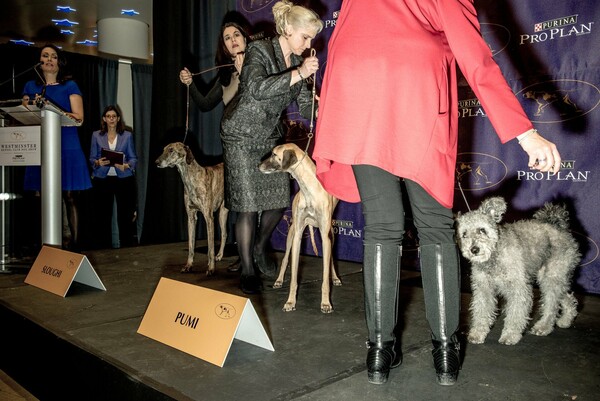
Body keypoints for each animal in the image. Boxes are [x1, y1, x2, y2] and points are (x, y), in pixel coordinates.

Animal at [155, 143, 230, 276]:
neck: (190, 178)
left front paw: (211, 268)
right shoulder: (191, 217)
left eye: (171, 150)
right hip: (223, 213)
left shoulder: (209, 217)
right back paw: (220, 255)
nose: (156, 162)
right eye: (163, 150)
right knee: (224, 233)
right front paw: (188, 266)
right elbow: (191, 245)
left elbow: (210, 247)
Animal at [258, 143, 340, 312]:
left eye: (274, 154)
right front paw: (290, 302)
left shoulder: (325, 237)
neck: (309, 191)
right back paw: (278, 280)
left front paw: (326, 303)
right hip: (291, 233)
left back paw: (335, 278)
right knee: (284, 258)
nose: (258, 165)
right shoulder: (297, 236)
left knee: (331, 260)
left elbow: (325, 275)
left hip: (331, 235)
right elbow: (294, 276)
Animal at [458, 197, 580, 344]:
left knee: (552, 305)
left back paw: (543, 327)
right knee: (565, 297)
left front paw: (510, 335)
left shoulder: (518, 288)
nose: (474, 250)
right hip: (552, 278)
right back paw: (566, 320)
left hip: (551, 277)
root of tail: (558, 225)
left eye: (482, 230)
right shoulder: (484, 288)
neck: (494, 255)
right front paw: (477, 333)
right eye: (464, 234)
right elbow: (481, 312)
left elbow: (516, 314)